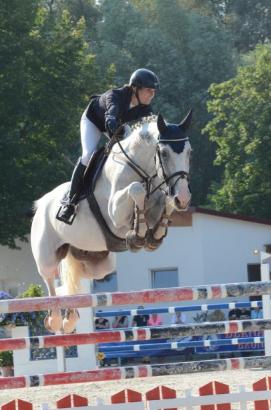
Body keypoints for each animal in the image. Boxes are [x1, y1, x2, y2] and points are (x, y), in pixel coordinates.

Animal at [30, 112, 192, 334]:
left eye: (189, 152)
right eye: (164, 153)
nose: (183, 198)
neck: (141, 170)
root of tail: (41, 203)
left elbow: (161, 203)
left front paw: (152, 235)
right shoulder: (115, 215)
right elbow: (136, 189)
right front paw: (137, 235)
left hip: (98, 263)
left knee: (73, 281)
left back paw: (70, 318)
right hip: (46, 255)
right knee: (49, 279)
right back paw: (55, 318)